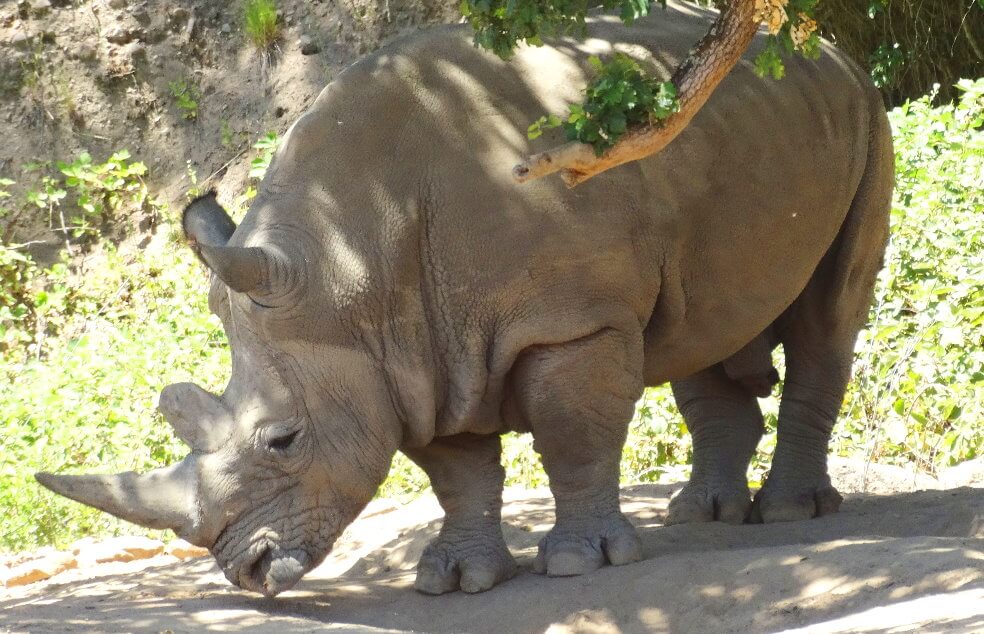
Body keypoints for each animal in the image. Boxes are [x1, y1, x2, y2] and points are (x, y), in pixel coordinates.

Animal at [36, 2, 891, 597]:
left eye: (283, 441)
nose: (247, 571)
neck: (348, 269)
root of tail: (828, 51)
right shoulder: (410, 356)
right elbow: (456, 471)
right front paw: (456, 580)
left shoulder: (568, 324)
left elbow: (573, 435)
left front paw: (579, 564)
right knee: (701, 326)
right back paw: (703, 514)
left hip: (866, 117)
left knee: (826, 322)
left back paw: (787, 514)